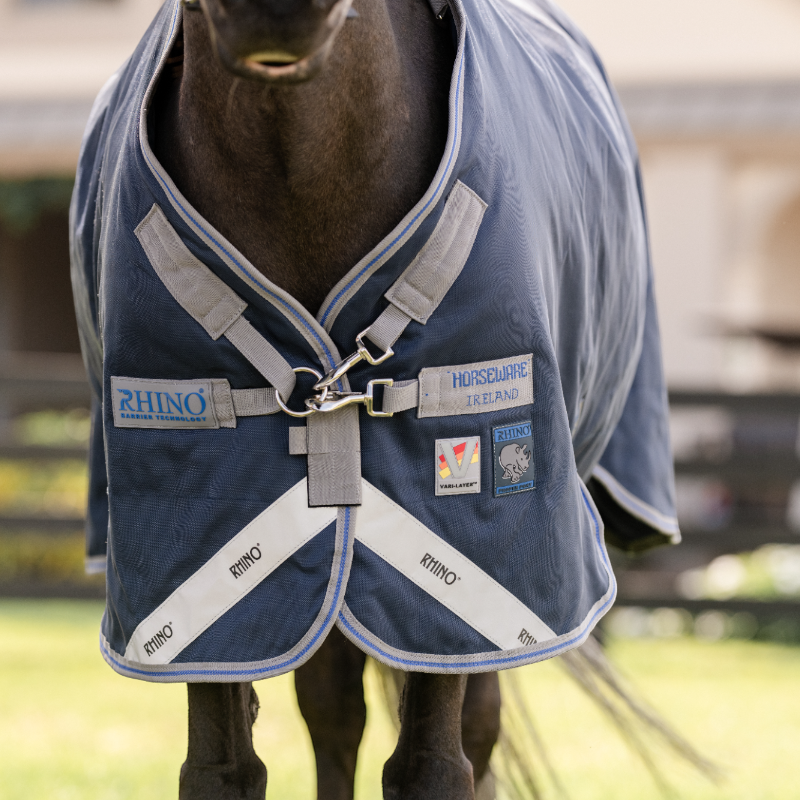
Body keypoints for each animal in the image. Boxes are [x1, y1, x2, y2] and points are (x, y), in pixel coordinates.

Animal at [69, 0, 681, 797]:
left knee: (475, 726)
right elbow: (221, 768)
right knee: (334, 712)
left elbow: (432, 768)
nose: (274, 13)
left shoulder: (479, 556)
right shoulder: (182, 563)